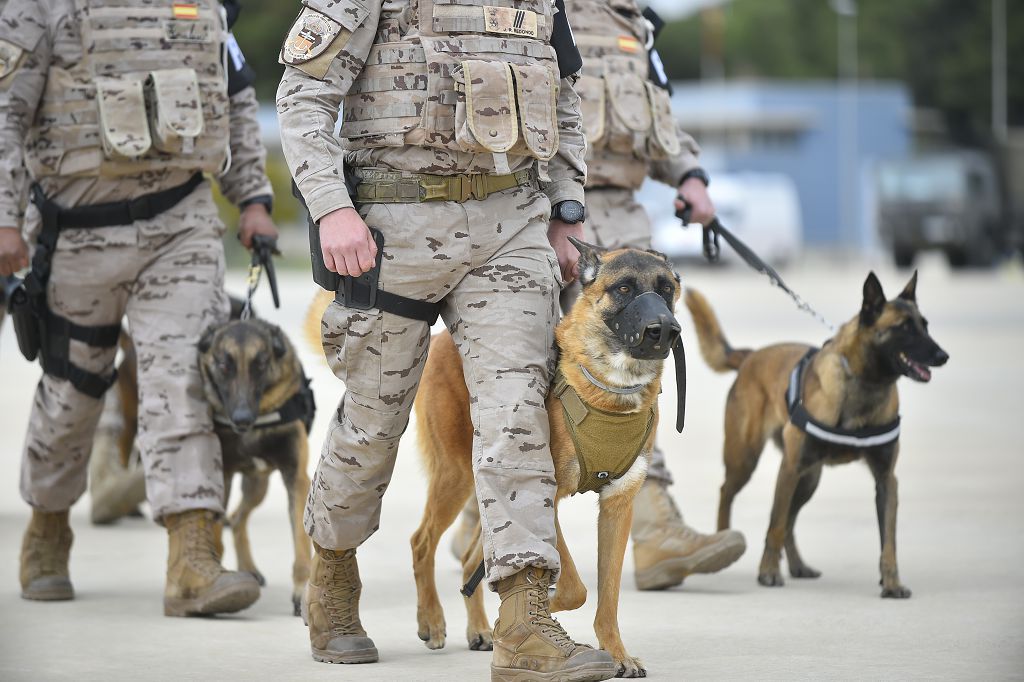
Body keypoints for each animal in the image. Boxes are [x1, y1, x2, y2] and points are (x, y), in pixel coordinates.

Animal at [411, 238, 684, 675]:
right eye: (624, 288)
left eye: (666, 289)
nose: (663, 330)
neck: (611, 387)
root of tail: (443, 338)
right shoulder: (546, 497)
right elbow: (574, 585)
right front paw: (542, 605)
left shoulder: (617, 507)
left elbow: (608, 597)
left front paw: (617, 654)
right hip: (456, 476)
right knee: (422, 542)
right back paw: (432, 621)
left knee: (472, 558)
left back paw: (481, 629)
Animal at [684, 270, 946, 593]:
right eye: (903, 328)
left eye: (925, 325)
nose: (943, 355)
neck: (865, 384)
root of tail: (751, 356)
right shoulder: (789, 467)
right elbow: (774, 525)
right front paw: (768, 572)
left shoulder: (886, 480)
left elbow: (889, 541)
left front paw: (892, 583)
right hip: (747, 460)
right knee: (730, 494)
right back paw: (724, 535)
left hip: (808, 479)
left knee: (791, 523)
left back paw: (798, 565)